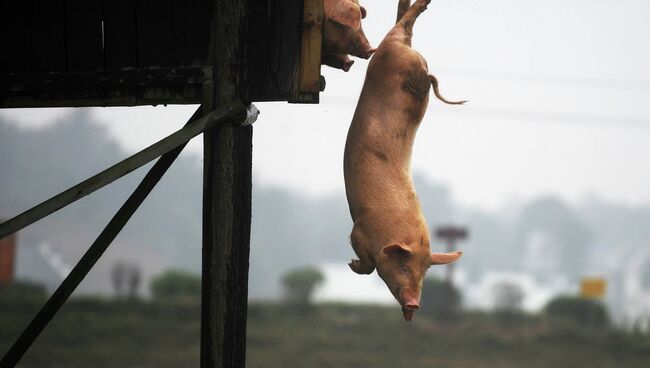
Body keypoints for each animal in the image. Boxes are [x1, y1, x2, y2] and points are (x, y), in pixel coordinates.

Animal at [342, 0, 464, 320]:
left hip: (396, 52)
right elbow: (366, 264)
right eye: (405, 267)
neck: (388, 234)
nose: (414, 305)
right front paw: (350, 264)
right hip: (388, 53)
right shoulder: (358, 230)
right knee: (400, 28)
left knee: (403, 26)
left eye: (425, 273)